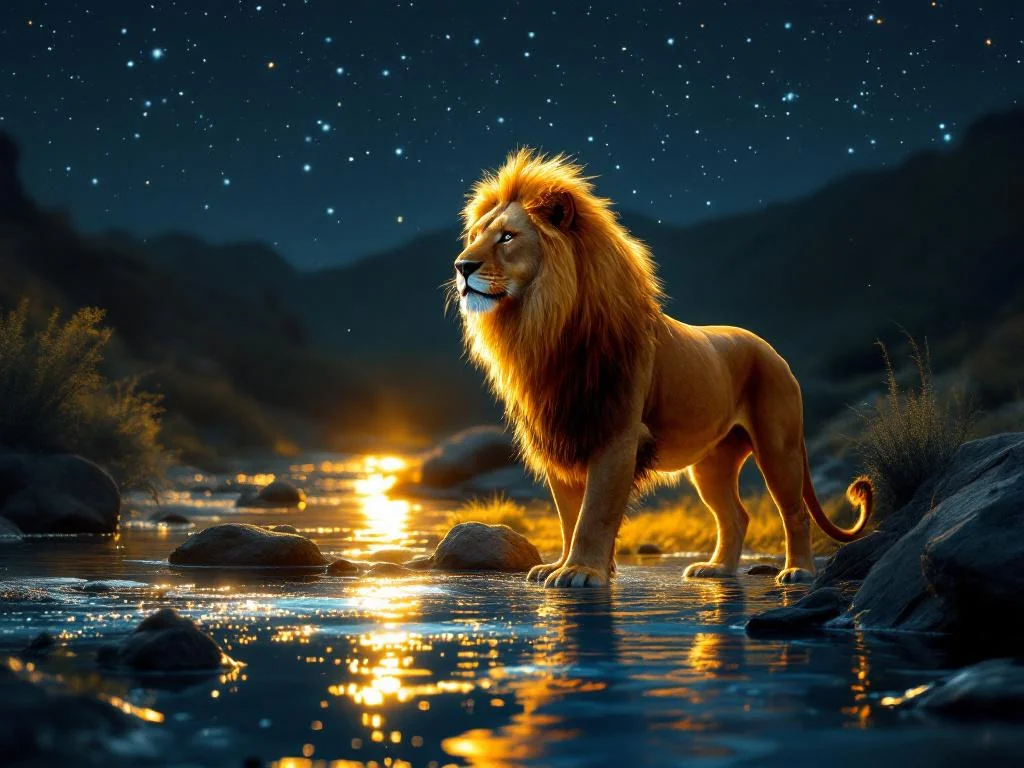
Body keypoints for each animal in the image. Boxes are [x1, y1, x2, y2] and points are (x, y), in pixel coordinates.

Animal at [452, 149, 873, 588]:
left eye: (507, 236)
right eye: (474, 236)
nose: (461, 265)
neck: (543, 328)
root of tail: (774, 352)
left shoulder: (616, 435)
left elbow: (593, 513)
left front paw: (581, 572)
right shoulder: (563, 432)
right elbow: (568, 515)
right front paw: (561, 565)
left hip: (779, 447)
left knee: (795, 512)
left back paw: (798, 571)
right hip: (713, 462)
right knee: (736, 515)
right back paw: (716, 569)